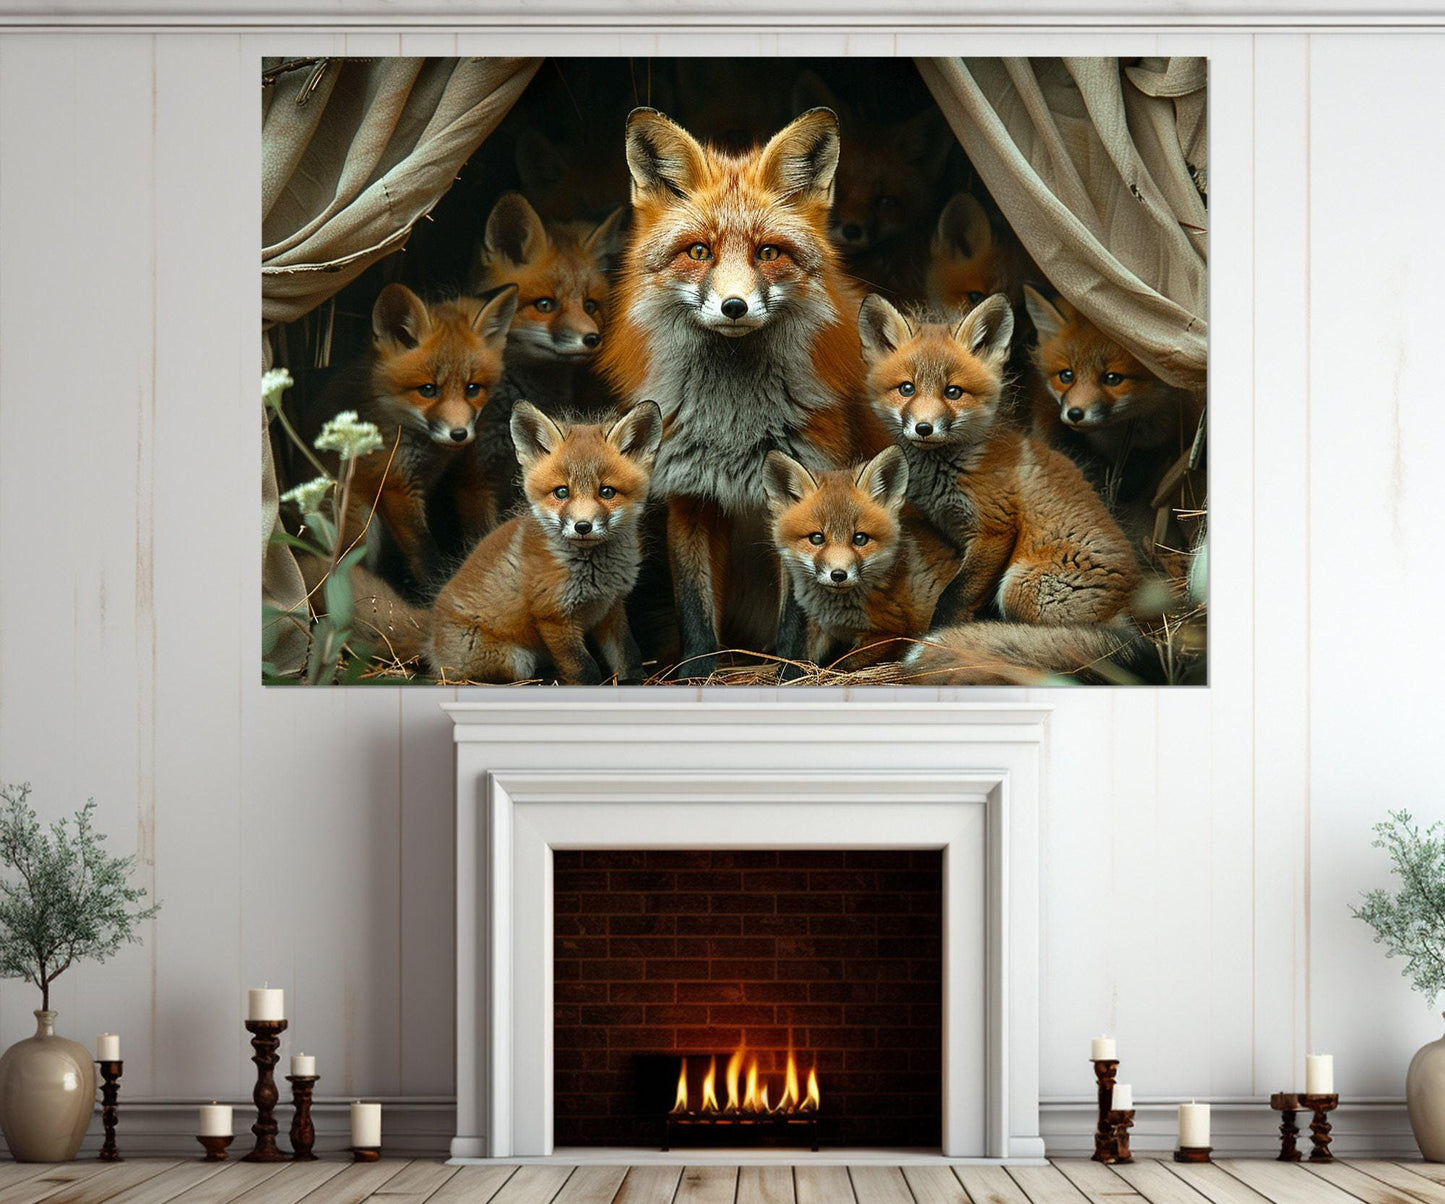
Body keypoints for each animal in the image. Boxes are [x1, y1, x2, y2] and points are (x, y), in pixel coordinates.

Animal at [315, 282, 518, 598]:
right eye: (428, 390)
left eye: (473, 389)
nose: (459, 434)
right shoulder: (395, 484)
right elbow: (424, 552)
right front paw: (436, 589)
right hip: (361, 523)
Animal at [428, 400, 663, 685]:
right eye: (561, 492)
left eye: (607, 492)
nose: (582, 526)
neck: (594, 576)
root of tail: (432, 645)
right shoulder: (553, 616)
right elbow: (582, 667)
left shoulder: (611, 606)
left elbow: (628, 653)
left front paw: (636, 679)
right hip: (516, 660)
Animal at [599, 105, 889, 678]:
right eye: (699, 251)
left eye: (768, 252)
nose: (734, 306)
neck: (731, 422)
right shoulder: (689, 493)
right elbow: (693, 608)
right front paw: (696, 675)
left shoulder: (806, 492)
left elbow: (796, 617)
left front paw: (792, 676)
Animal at [763, 445, 959, 670]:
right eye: (816, 538)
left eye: (859, 538)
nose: (838, 575)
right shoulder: (824, 628)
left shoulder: (893, 633)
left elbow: (842, 664)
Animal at [858, 291, 1140, 630]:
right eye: (906, 389)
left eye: (953, 392)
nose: (924, 428)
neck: (948, 471)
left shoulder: (995, 528)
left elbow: (956, 595)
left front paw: (942, 631)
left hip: (1021, 587)